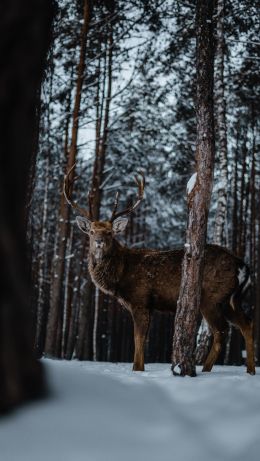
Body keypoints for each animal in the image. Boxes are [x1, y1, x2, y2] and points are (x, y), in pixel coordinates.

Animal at [64, 164, 255, 374]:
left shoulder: (140, 300)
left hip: (211, 297)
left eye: (109, 232)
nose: (98, 241)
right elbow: (141, 340)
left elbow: (138, 339)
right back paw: (250, 370)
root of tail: (242, 265)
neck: (120, 276)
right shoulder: (148, 305)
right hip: (231, 299)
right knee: (247, 323)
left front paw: (137, 370)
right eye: (91, 231)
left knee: (221, 330)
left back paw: (205, 370)